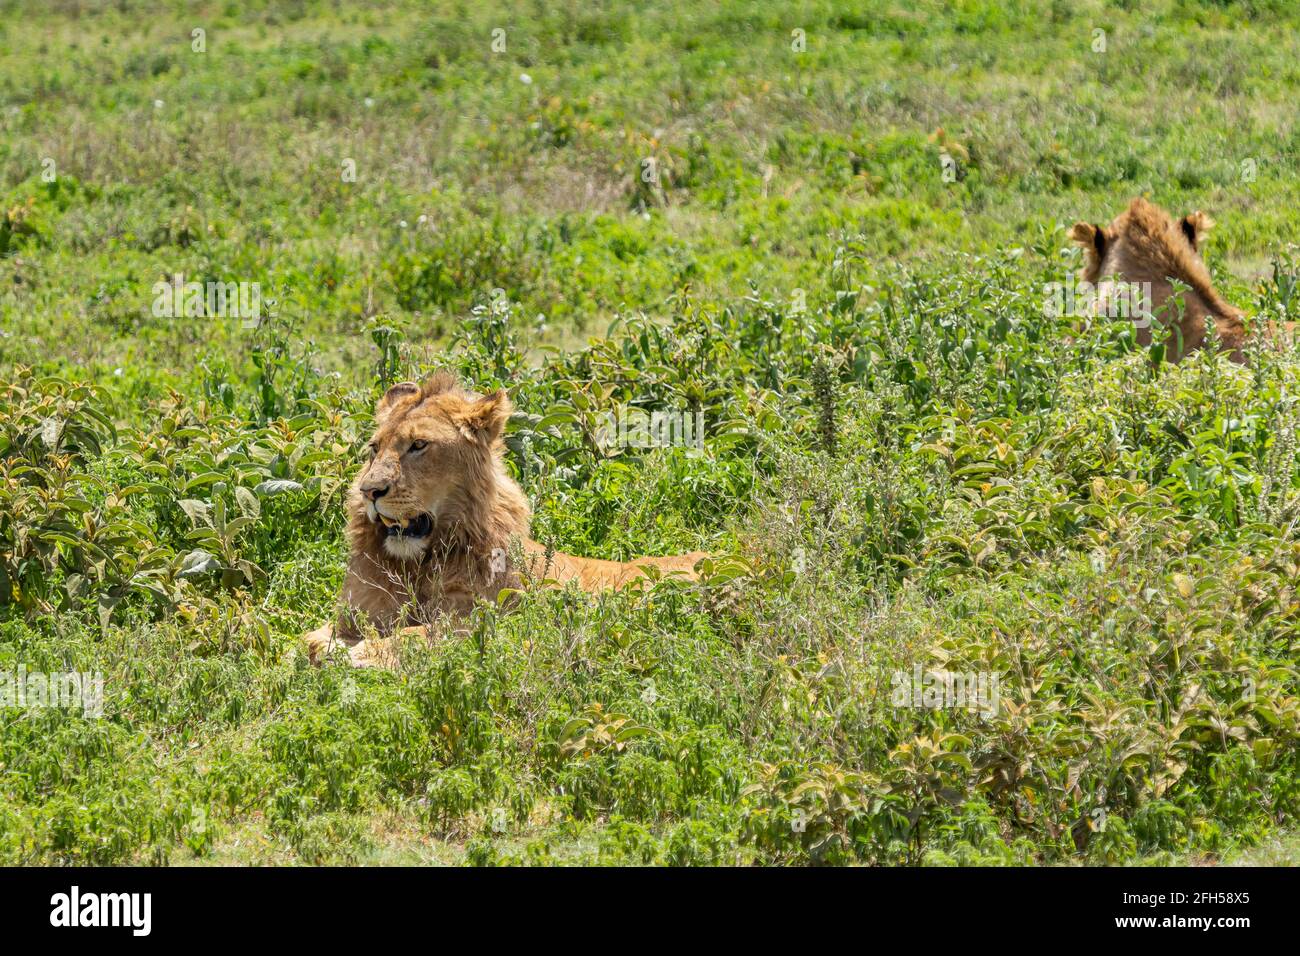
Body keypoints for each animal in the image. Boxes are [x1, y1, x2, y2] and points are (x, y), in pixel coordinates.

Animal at [302, 369, 707, 671]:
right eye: (374, 449)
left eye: (418, 445)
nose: (370, 491)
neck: (418, 564)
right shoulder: (358, 613)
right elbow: (308, 640)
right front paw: (329, 648)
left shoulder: (489, 621)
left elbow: (417, 634)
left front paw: (359, 653)